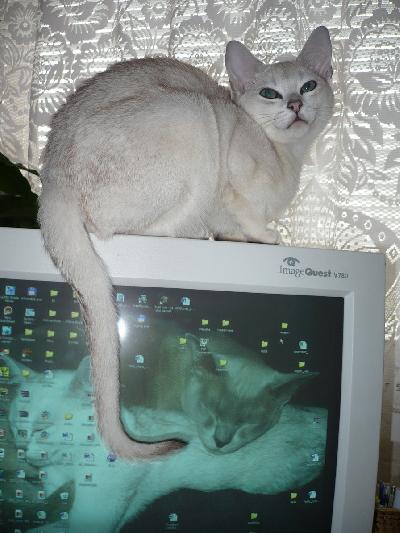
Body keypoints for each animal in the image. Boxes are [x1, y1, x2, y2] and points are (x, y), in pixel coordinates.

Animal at [37, 26, 334, 460]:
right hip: (193, 114)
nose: (295, 104)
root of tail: (50, 176)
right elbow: (246, 214)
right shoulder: (230, 183)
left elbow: (235, 228)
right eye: (270, 93)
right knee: (131, 227)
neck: (286, 158)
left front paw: (241, 238)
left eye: (309, 85)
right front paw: (266, 236)